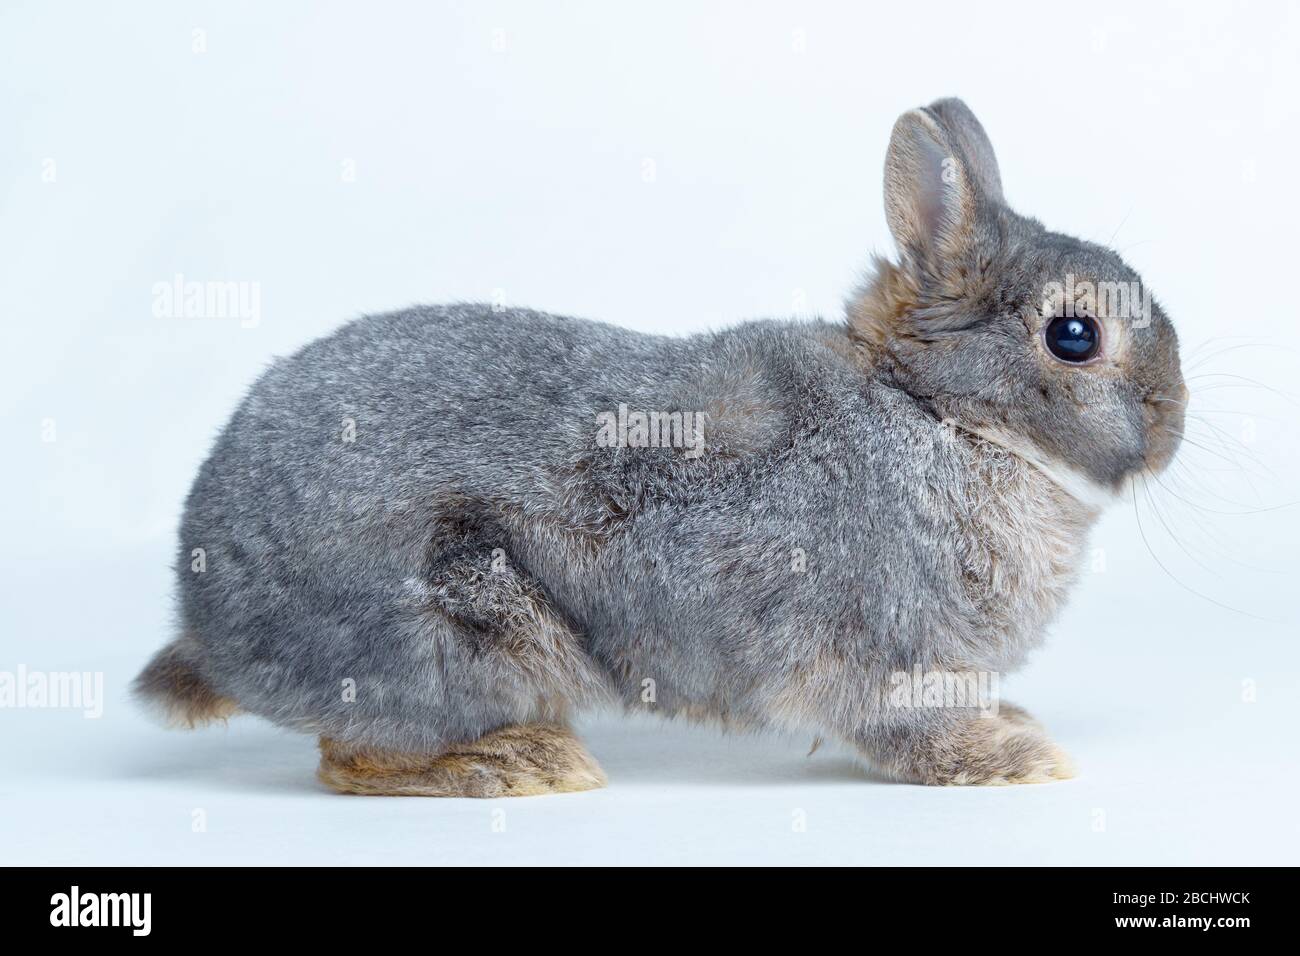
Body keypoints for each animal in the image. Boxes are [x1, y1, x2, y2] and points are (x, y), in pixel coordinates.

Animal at [135, 97, 1186, 794]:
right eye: (1075, 335)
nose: (1172, 426)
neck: (936, 414)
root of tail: (208, 621)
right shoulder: (882, 656)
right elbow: (902, 730)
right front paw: (1016, 757)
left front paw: (1014, 722)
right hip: (463, 630)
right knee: (351, 757)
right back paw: (526, 763)